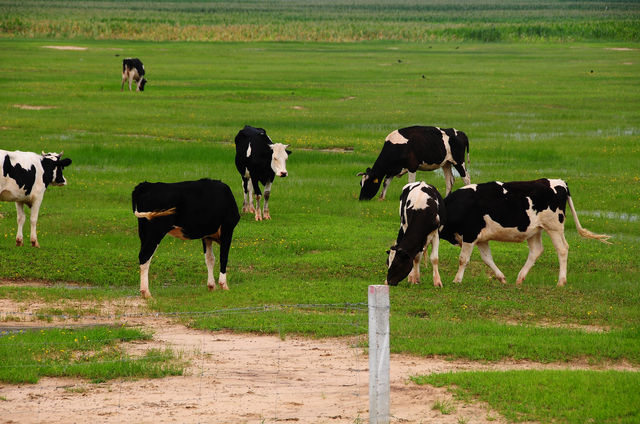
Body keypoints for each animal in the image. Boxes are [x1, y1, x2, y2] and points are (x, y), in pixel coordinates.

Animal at [438, 177, 612, 286]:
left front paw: (457, 280)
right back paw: (520, 278)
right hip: (535, 230)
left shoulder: (470, 234)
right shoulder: (481, 238)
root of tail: (560, 182)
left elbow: (463, 259)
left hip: (554, 226)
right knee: (536, 251)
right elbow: (487, 259)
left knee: (562, 249)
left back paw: (561, 281)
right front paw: (501, 278)